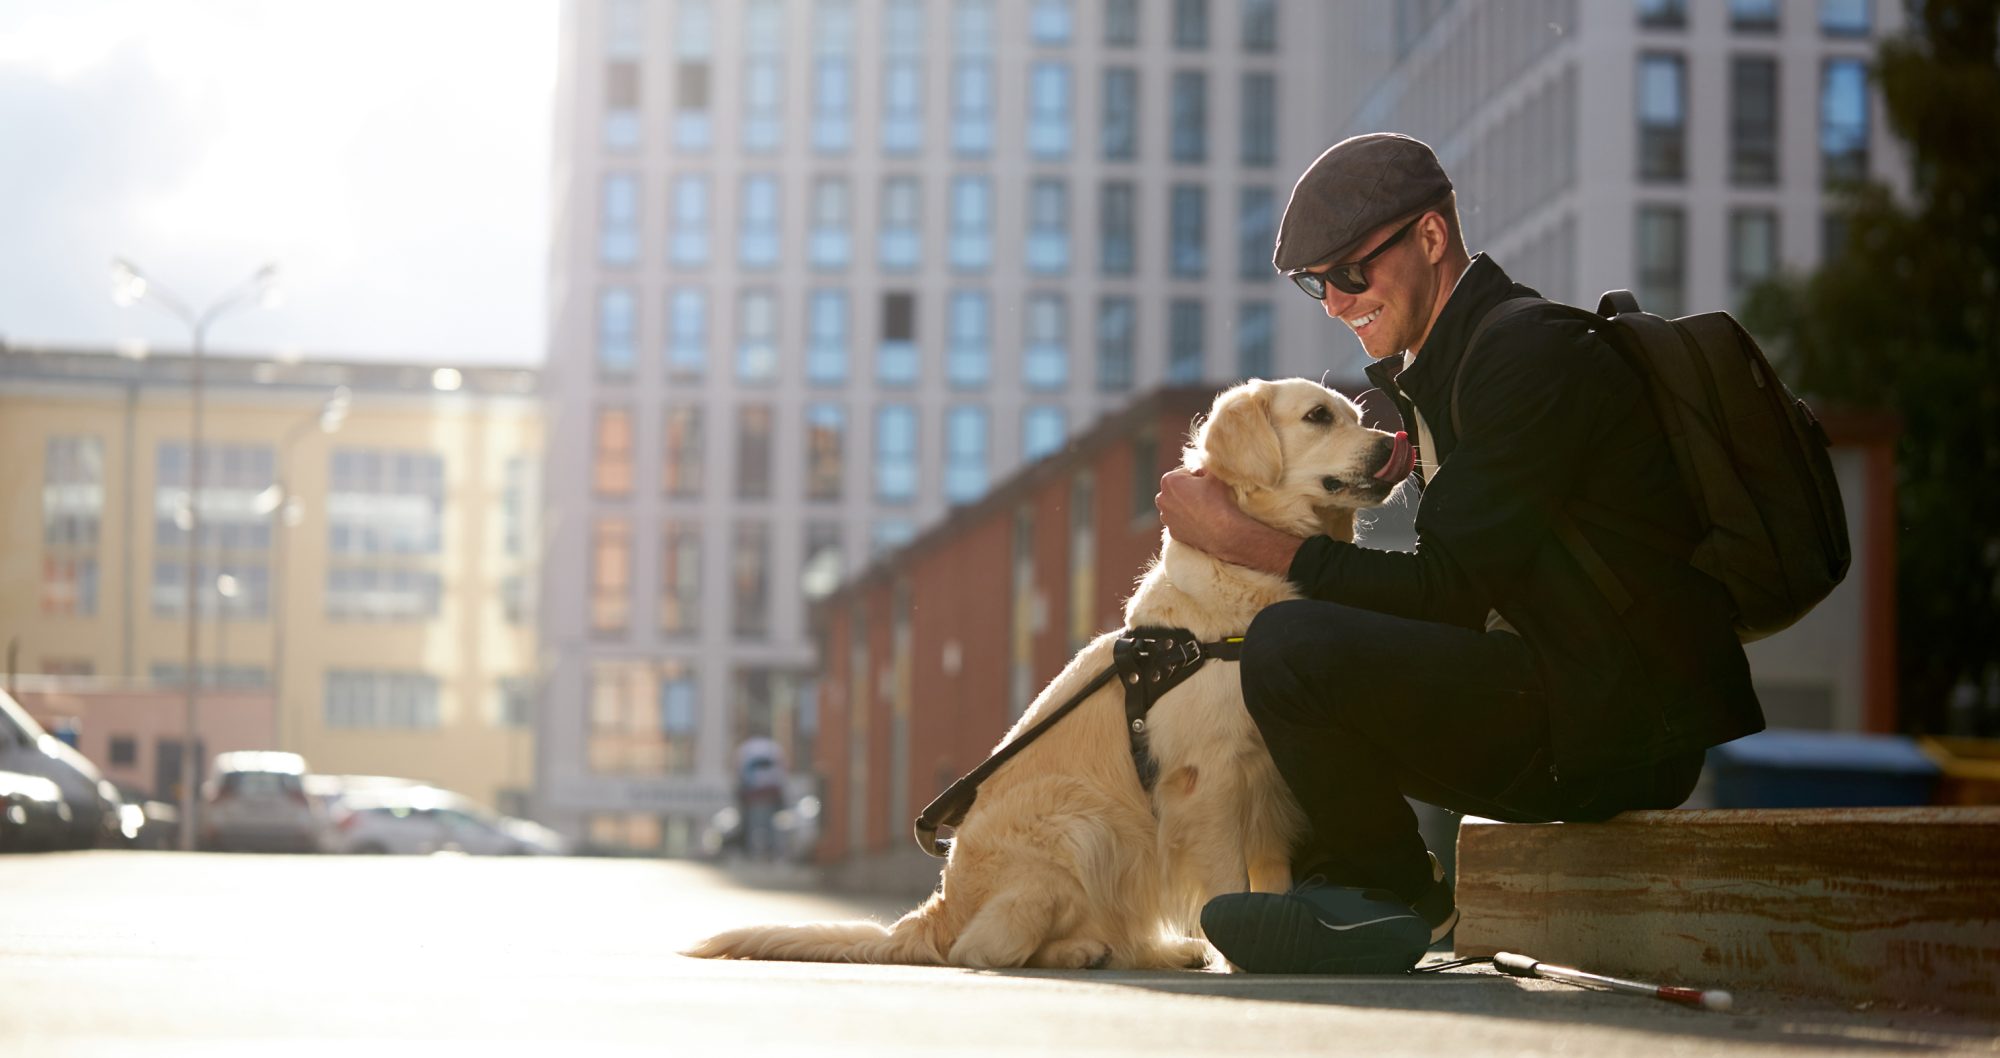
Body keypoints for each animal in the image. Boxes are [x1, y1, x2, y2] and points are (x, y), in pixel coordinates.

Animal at [684, 380, 1408, 972]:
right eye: (1318, 417)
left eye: (1354, 415)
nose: (1391, 447)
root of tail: (933, 912)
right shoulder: (1210, 779)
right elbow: (1229, 880)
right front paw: (1244, 950)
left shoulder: (1269, 784)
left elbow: (1271, 879)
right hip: (1078, 825)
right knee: (985, 950)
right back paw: (1080, 951)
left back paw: (1159, 951)